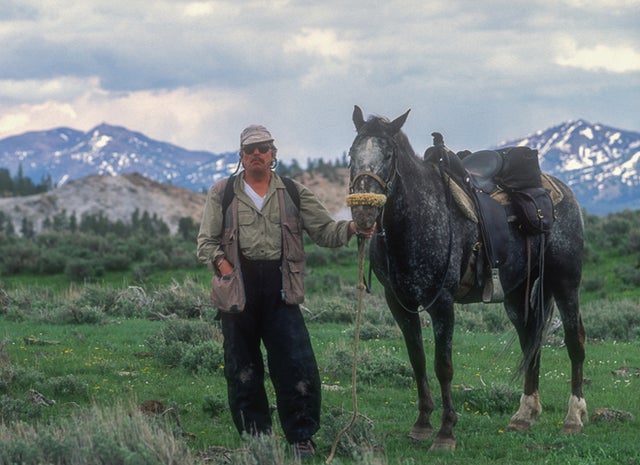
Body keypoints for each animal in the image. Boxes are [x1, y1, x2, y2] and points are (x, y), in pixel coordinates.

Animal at [346, 106, 587, 451]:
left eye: (389, 155)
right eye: (352, 153)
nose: (364, 213)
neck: (418, 217)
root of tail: (561, 190)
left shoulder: (442, 302)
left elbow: (443, 366)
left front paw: (446, 432)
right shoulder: (400, 302)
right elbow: (417, 360)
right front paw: (421, 424)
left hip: (566, 283)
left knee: (574, 340)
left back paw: (574, 418)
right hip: (517, 295)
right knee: (531, 340)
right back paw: (524, 415)